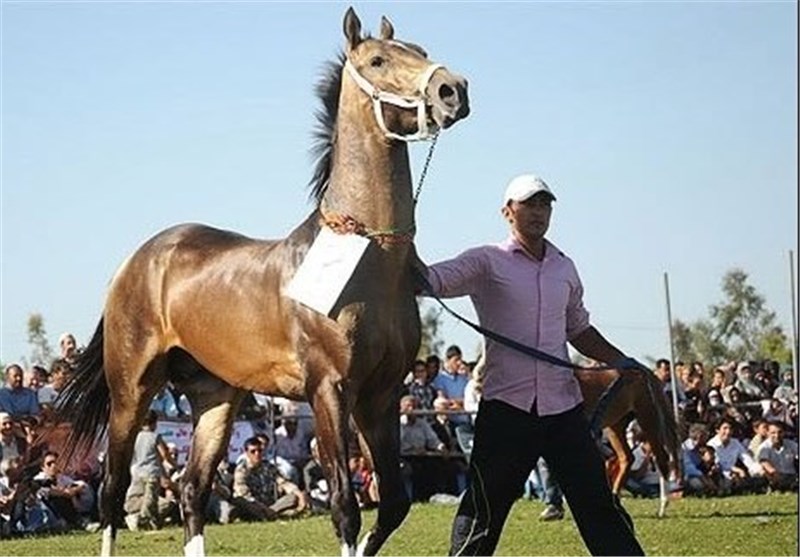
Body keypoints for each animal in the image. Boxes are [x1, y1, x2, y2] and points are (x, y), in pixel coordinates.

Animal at [57, 9, 468, 556]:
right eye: (378, 60)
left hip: (216, 398)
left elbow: (394, 504)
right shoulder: (329, 390)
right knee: (111, 490)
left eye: (419, 50)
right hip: (132, 389)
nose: (453, 89)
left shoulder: (380, 396)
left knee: (192, 490)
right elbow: (345, 506)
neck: (367, 258)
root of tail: (134, 261)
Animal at [576, 364, 680, 516]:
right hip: (616, 426)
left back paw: (662, 507)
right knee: (626, 457)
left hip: (647, 418)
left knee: (661, 458)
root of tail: (647, 373)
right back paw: (615, 496)